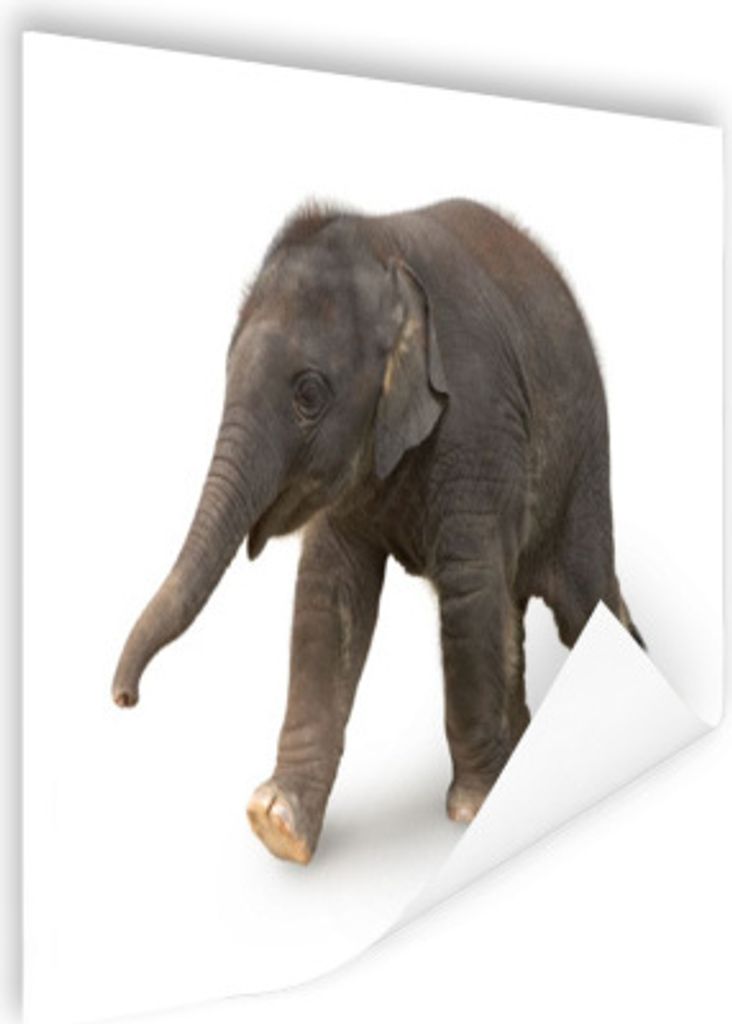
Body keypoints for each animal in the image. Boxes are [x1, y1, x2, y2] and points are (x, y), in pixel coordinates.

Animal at [112, 197, 643, 865]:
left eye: (308, 393)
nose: (124, 699)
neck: (382, 250)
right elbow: (327, 597)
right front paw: (277, 825)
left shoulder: (476, 421)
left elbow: (468, 590)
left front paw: (471, 811)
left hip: (584, 461)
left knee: (583, 600)